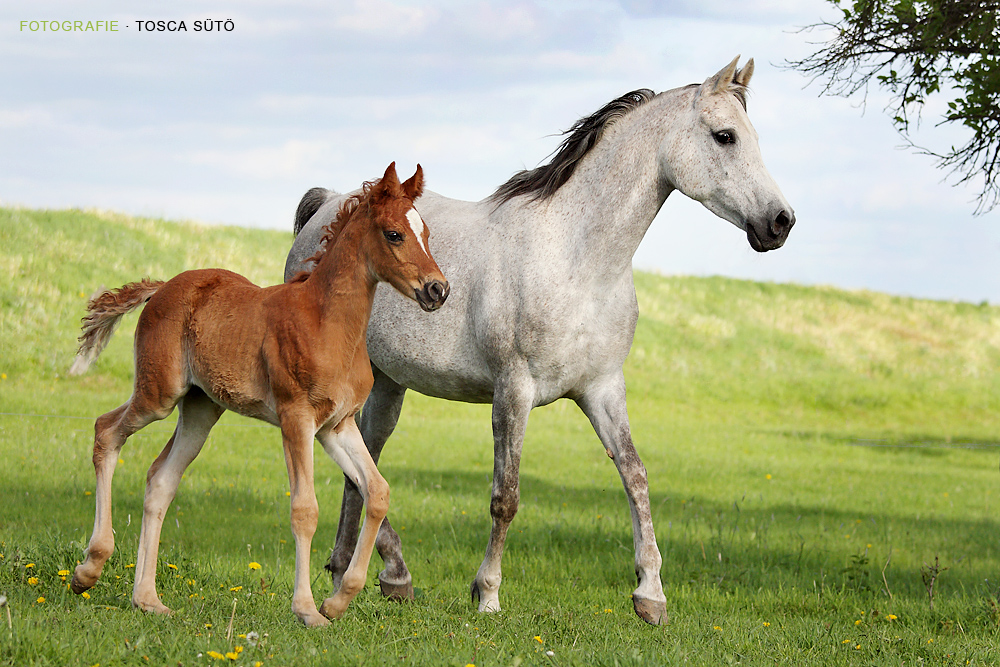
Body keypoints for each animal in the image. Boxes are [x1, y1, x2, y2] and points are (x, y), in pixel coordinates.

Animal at [70, 162, 446, 628]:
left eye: (426, 232)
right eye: (394, 234)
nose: (438, 289)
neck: (329, 323)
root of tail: (161, 287)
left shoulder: (336, 426)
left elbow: (376, 492)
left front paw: (338, 600)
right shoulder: (296, 418)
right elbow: (305, 509)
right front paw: (307, 609)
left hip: (201, 409)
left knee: (160, 480)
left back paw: (147, 599)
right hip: (159, 394)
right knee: (107, 431)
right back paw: (88, 570)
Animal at [286, 57, 792, 628]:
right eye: (724, 136)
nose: (780, 222)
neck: (578, 261)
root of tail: (326, 207)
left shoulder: (603, 390)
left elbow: (635, 476)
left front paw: (651, 595)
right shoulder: (514, 391)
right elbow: (505, 496)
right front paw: (487, 594)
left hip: (388, 383)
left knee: (363, 462)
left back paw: (367, 573)